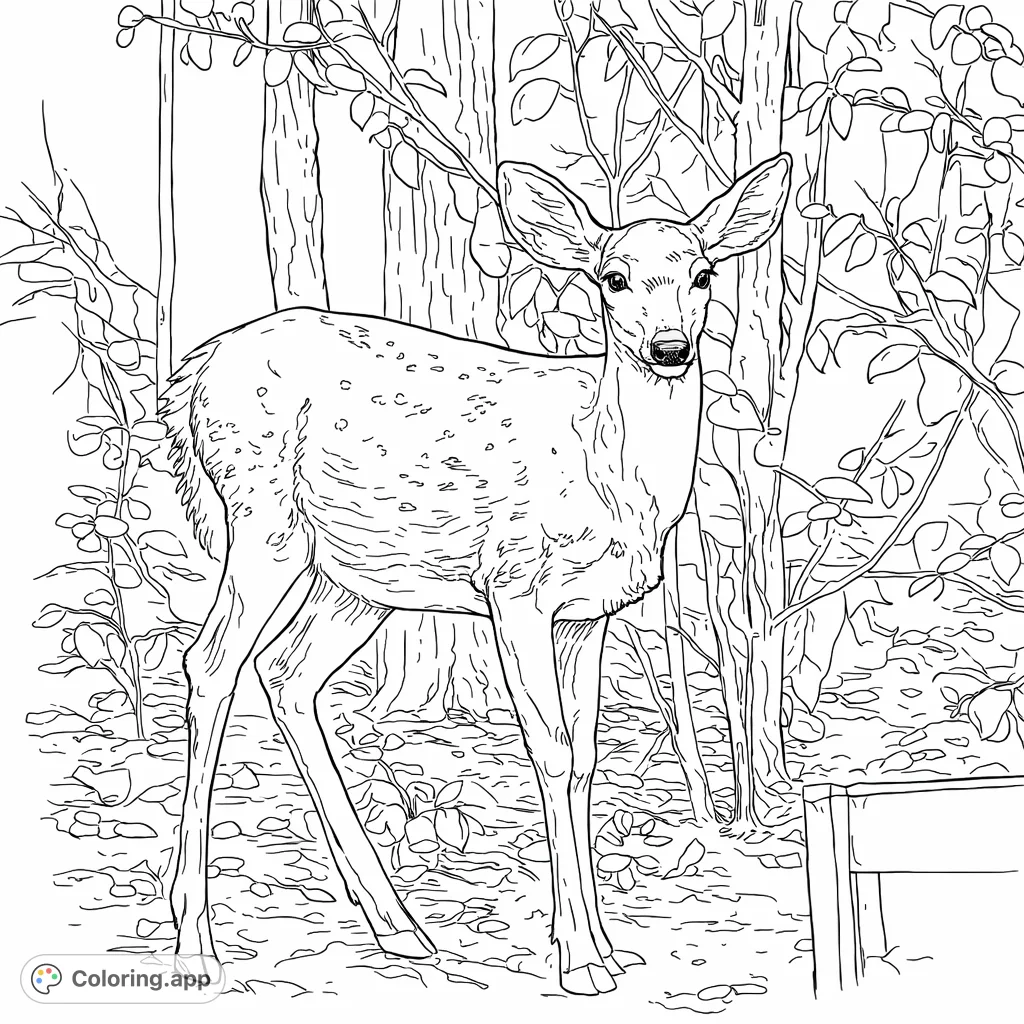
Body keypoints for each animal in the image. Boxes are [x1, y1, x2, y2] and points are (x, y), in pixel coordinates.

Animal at [161, 154, 790, 995]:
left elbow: (584, 757)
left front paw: (604, 947)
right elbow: (551, 749)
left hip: (360, 573)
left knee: (287, 673)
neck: (612, 471)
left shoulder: (586, 613)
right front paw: (580, 960)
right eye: (612, 277)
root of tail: (192, 377)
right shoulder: (514, 584)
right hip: (264, 520)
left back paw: (398, 926)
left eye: (703, 273)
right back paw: (197, 941)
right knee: (210, 664)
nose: (669, 348)